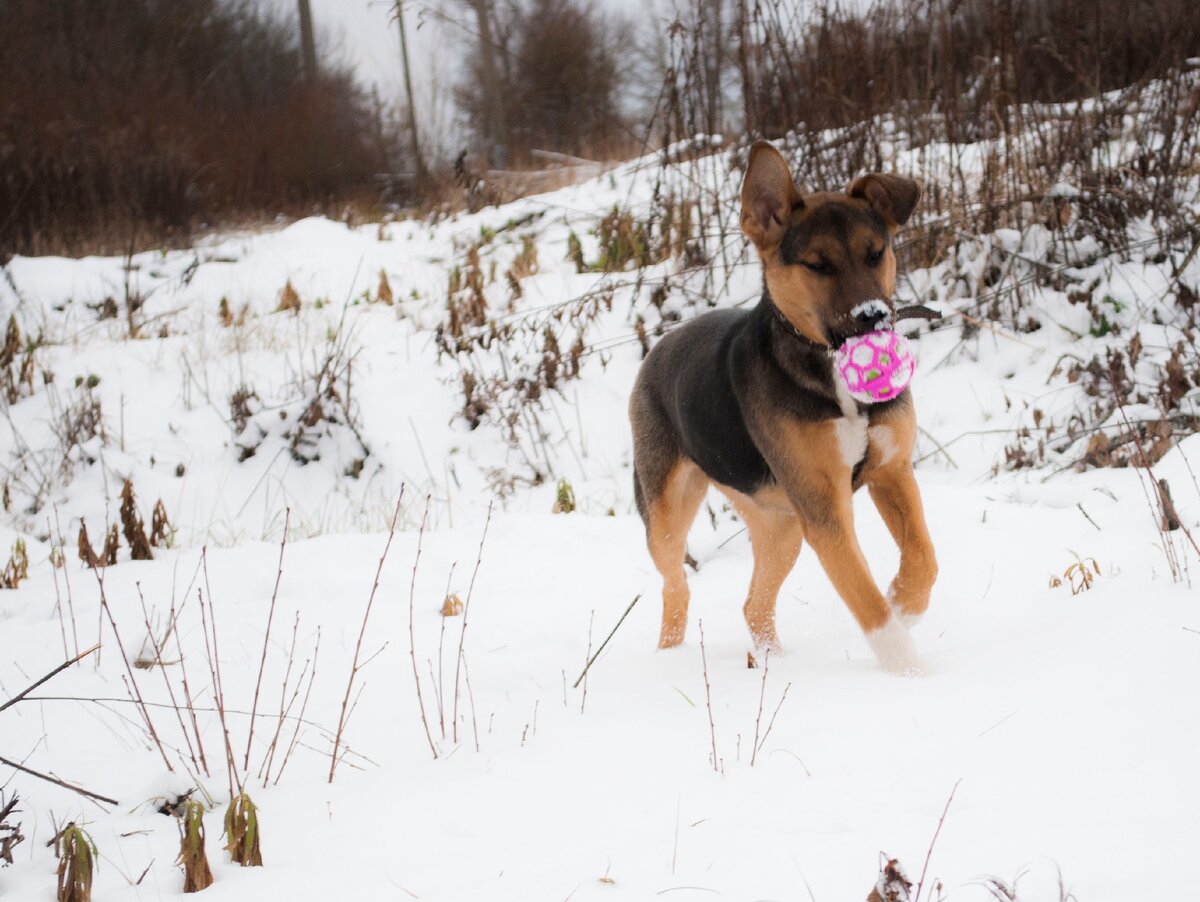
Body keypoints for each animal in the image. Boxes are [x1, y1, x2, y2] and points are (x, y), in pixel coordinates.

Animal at [628, 140, 936, 671]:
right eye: (818, 265)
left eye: (875, 253)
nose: (873, 316)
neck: (828, 371)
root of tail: (658, 348)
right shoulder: (825, 509)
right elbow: (867, 602)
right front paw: (909, 670)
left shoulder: (891, 470)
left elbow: (923, 557)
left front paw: (904, 601)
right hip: (666, 512)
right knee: (675, 586)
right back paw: (670, 659)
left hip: (779, 523)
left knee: (754, 603)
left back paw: (773, 661)